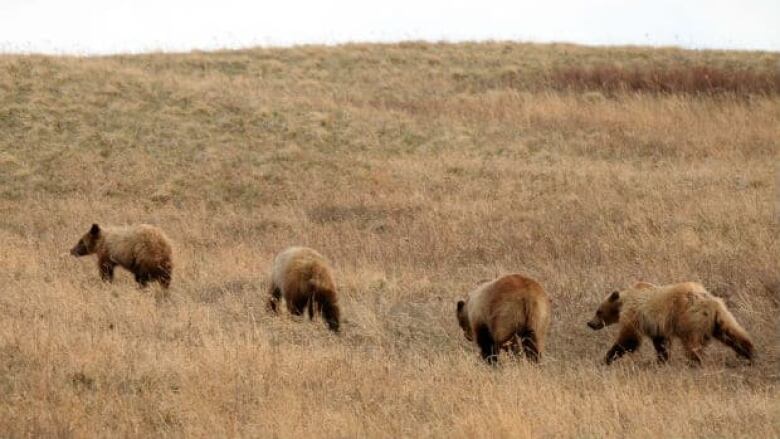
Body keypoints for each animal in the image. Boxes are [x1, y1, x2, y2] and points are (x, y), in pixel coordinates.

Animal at [588, 284, 752, 366]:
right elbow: (661, 344)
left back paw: (694, 363)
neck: (623, 302)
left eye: (598, 311)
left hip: (690, 320)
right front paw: (662, 360)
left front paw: (607, 358)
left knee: (692, 346)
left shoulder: (634, 314)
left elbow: (629, 339)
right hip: (722, 317)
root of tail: (710, 303)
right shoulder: (657, 326)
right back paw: (749, 354)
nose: (590, 323)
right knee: (734, 334)